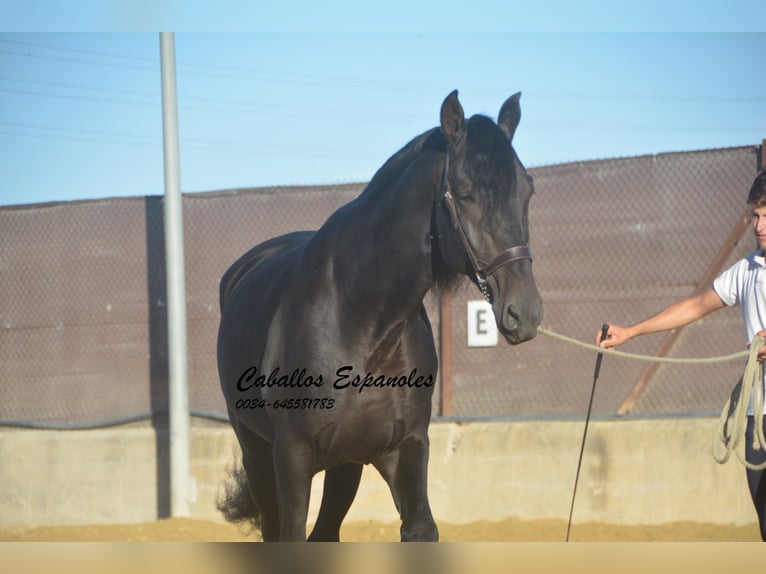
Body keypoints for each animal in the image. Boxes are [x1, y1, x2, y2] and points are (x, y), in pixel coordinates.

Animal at [216, 91, 544, 544]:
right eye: (463, 192)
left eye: (527, 190)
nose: (523, 312)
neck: (361, 321)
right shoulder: (292, 458)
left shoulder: (404, 449)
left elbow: (420, 527)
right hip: (257, 452)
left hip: (344, 464)